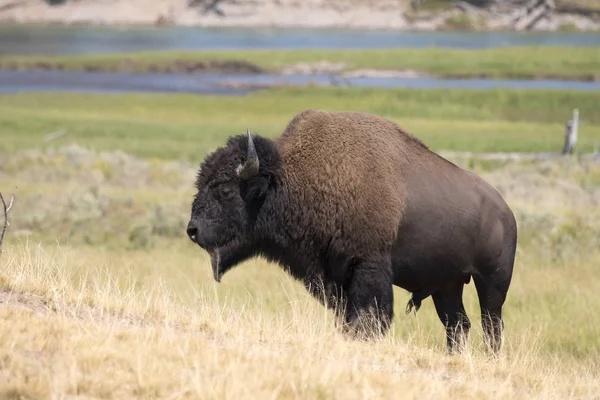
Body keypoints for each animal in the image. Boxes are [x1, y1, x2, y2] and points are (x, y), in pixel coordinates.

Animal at [186, 108, 516, 354]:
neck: (292, 177)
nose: (193, 230)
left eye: (225, 190)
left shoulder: (367, 266)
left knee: (491, 324)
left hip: (492, 282)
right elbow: (346, 317)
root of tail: (506, 212)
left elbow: (370, 315)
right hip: (447, 285)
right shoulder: (333, 276)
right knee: (457, 324)